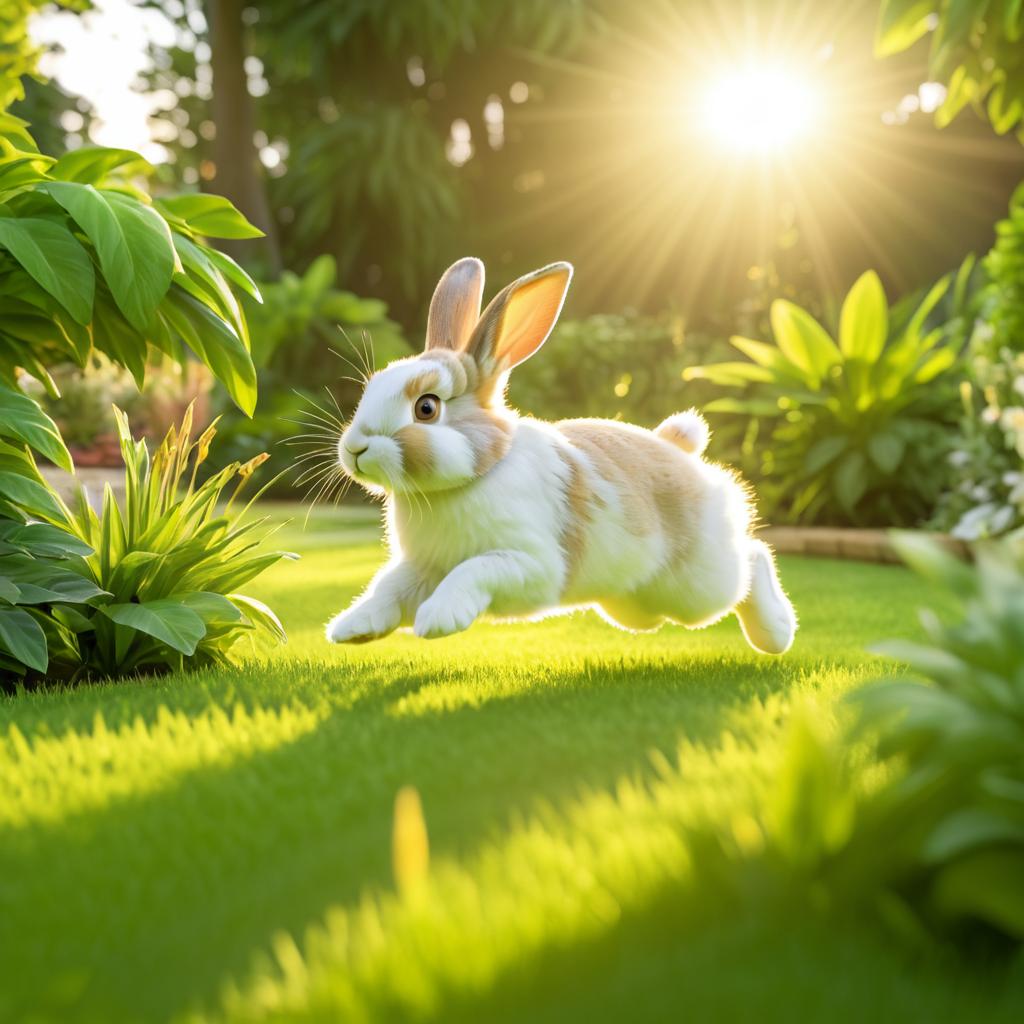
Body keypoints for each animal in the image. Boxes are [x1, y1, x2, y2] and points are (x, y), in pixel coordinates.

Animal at [323, 260, 794, 651]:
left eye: (427, 408)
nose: (354, 448)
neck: (479, 472)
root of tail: (680, 449)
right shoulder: (421, 567)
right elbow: (388, 587)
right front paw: (352, 628)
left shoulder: (527, 563)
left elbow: (472, 571)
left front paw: (439, 619)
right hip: (634, 607)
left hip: (700, 586)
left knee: (752, 560)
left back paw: (778, 633)